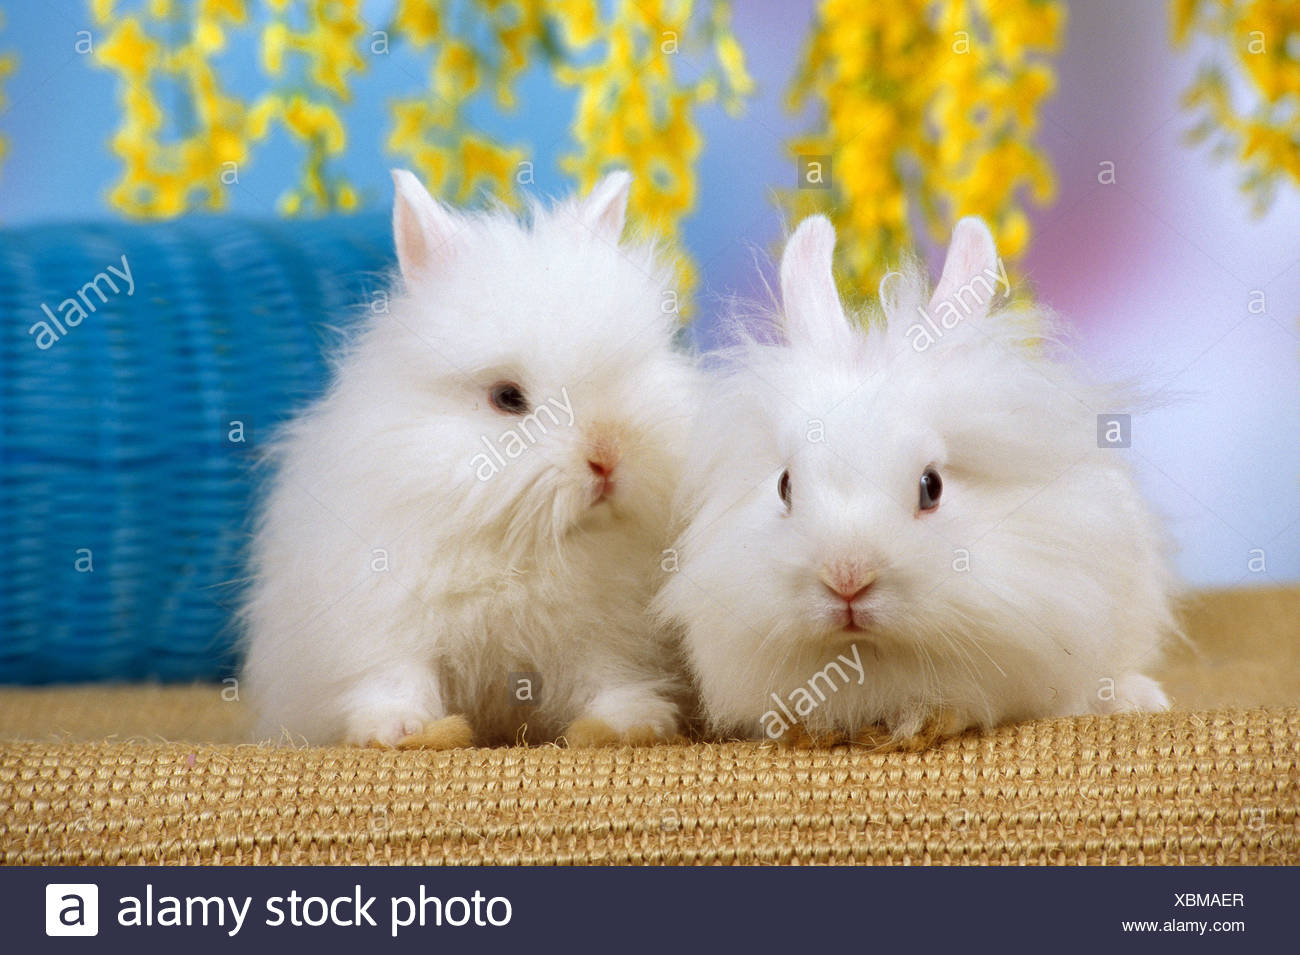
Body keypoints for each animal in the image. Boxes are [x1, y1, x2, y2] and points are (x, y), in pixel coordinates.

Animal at [237, 174, 696, 753]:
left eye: (627, 374)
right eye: (507, 398)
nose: (608, 459)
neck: (522, 542)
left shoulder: (606, 633)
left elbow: (608, 675)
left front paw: (630, 725)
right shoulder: (386, 617)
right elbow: (397, 675)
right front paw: (398, 730)